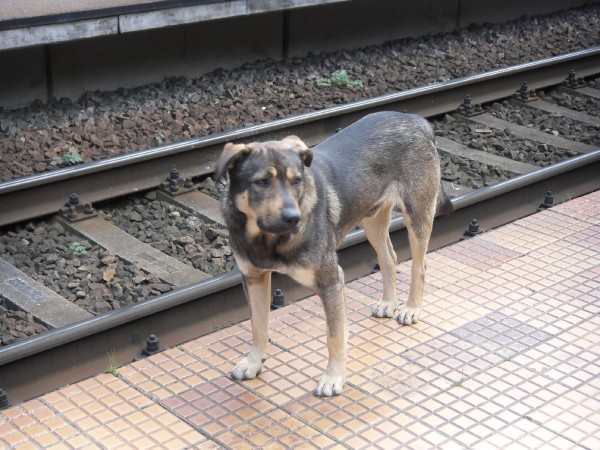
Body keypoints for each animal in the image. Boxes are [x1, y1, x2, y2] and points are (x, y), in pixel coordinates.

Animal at [213, 110, 452, 396]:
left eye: (296, 181)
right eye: (261, 182)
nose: (294, 218)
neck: (267, 239)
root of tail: (417, 120)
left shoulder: (331, 281)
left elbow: (335, 336)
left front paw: (333, 378)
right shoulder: (254, 278)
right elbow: (258, 326)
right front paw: (253, 362)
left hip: (417, 215)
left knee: (420, 265)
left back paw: (411, 308)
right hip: (372, 218)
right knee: (389, 258)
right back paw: (388, 302)